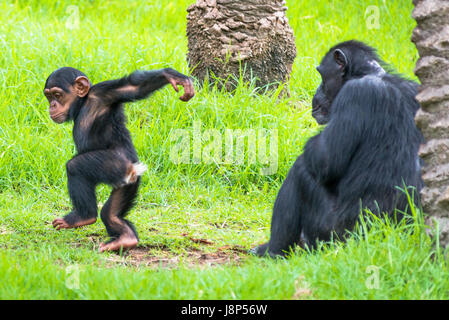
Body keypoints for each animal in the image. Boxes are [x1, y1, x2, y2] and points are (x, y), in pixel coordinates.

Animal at [42, 67, 194, 252]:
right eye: (49, 97)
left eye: (57, 95)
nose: (52, 105)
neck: (83, 104)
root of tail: (133, 170)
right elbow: (136, 87)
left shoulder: (103, 95)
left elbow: (133, 88)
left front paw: (172, 76)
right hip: (127, 187)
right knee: (110, 213)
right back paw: (125, 238)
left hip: (114, 165)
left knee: (75, 166)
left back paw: (83, 217)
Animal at [252, 41, 424, 258]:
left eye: (322, 76)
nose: (316, 91)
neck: (371, 74)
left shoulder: (355, 94)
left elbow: (325, 159)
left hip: (335, 233)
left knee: (301, 171)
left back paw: (271, 250)